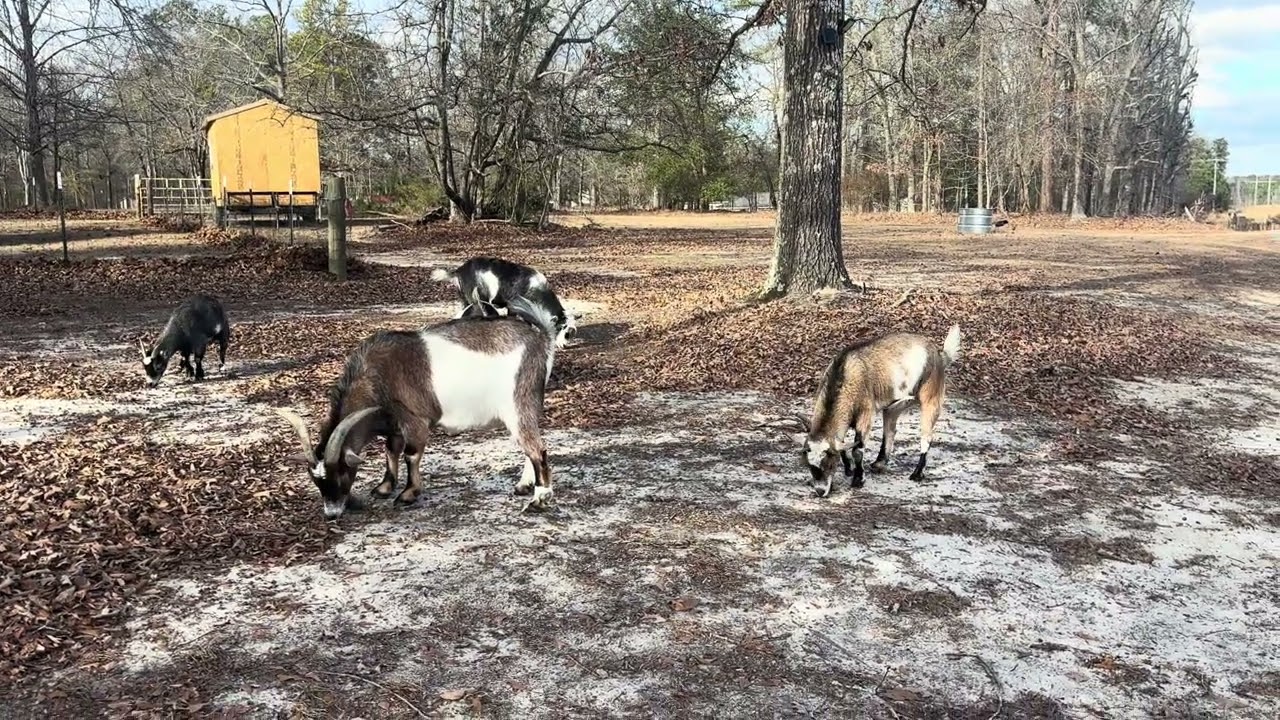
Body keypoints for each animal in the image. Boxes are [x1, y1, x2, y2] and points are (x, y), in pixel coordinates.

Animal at [276, 295, 559, 519]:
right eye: (316, 480)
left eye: (343, 472)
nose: (332, 513)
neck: (374, 377)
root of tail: (541, 338)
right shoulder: (393, 425)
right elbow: (391, 451)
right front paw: (384, 487)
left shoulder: (414, 418)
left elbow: (410, 453)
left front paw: (408, 494)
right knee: (529, 445)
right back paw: (524, 485)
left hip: (518, 402)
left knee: (537, 449)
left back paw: (538, 499)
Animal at [431, 257, 577, 348]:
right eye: (560, 327)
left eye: (569, 332)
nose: (563, 345)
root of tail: (459, 271)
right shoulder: (515, 306)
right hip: (476, 296)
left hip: (465, 298)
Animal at [795, 325, 962, 497]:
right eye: (809, 465)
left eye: (829, 465)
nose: (820, 491)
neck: (844, 374)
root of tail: (939, 354)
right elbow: (843, 446)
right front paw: (849, 469)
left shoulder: (866, 414)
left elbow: (857, 450)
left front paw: (858, 480)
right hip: (895, 405)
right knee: (890, 430)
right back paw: (879, 463)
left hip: (931, 396)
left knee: (926, 435)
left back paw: (916, 473)